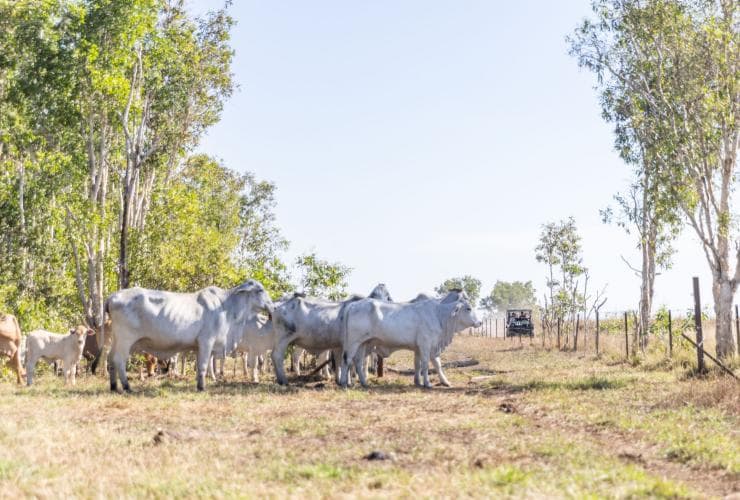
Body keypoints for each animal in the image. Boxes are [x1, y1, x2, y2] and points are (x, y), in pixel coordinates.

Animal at [105, 279, 273, 392]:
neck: (226, 307)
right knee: (119, 360)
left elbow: (200, 367)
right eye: (260, 290)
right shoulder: (207, 341)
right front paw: (202, 388)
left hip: (117, 339)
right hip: (126, 340)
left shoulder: (199, 346)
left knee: (110, 358)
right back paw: (127, 387)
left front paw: (199, 384)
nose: (271, 305)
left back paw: (113, 387)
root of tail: (112, 296)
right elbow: (204, 365)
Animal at [340, 293, 481, 388]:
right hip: (353, 342)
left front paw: (437, 382)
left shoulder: (421, 347)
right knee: (347, 360)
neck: (439, 315)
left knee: (358, 362)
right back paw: (344, 383)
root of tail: (353, 305)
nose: (480, 322)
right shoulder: (426, 344)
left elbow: (426, 364)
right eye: (468, 308)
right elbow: (426, 364)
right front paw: (427, 383)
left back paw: (364, 383)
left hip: (363, 344)